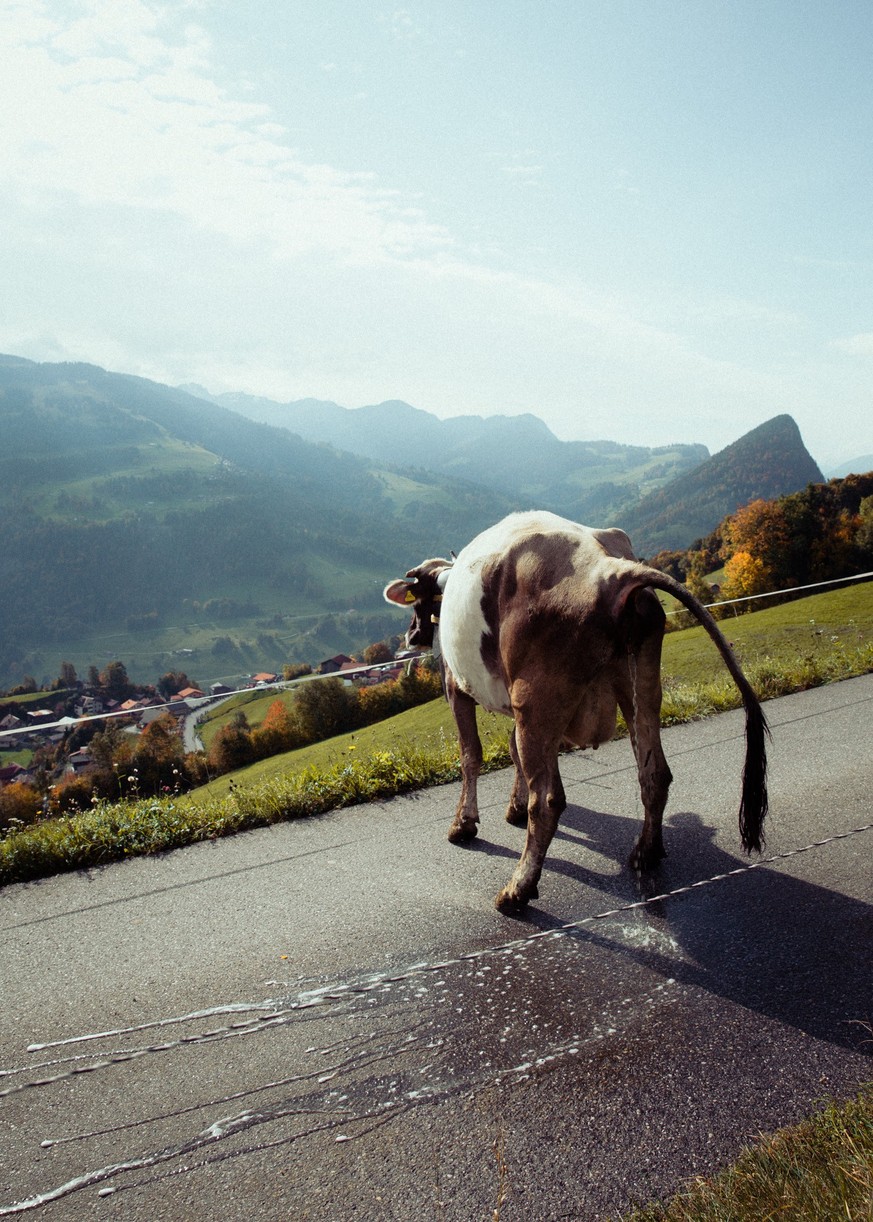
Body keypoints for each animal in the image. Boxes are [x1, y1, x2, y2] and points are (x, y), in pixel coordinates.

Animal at [383, 505, 762, 909]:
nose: (410, 635)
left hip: (536, 697)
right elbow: (516, 753)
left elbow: (472, 755)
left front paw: (464, 823)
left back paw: (518, 887)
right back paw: (645, 852)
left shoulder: (457, 689)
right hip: (636, 683)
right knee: (653, 773)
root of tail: (605, 568)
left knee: (548, 802)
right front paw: (513, 806)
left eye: (417, 601)